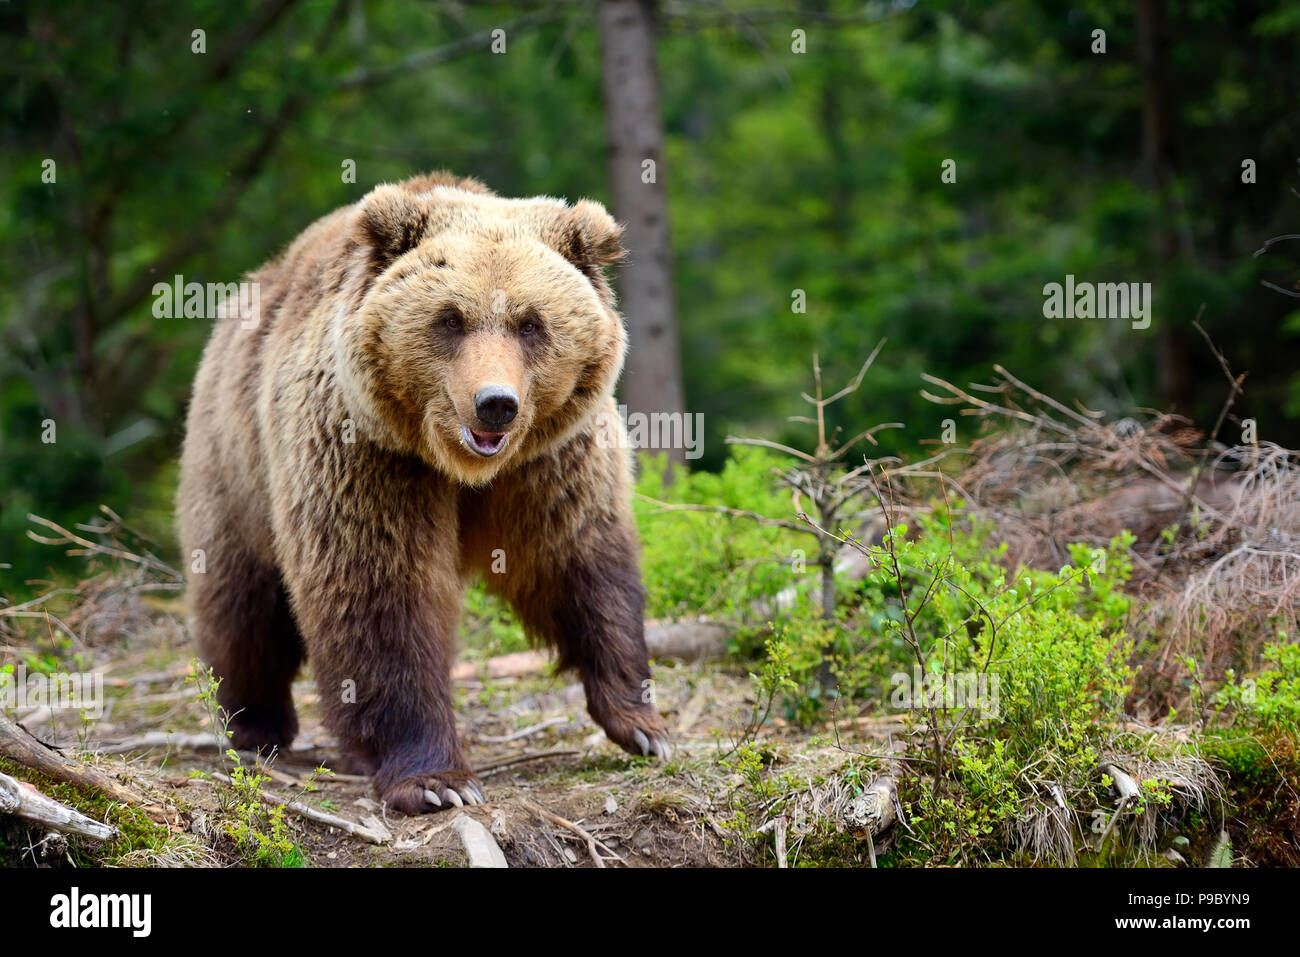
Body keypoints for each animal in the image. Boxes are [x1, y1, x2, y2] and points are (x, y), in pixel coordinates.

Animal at [177, 171, 670, 814]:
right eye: (450, 319)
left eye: (531, 323)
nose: (495, 402)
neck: (461, 469)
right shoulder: (369, 455)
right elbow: (379, 591)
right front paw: (437, 780)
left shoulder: (550, 463)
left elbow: (581, 561)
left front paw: (641, 722)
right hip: (234, 461)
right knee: (242, 601)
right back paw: (255, 726)